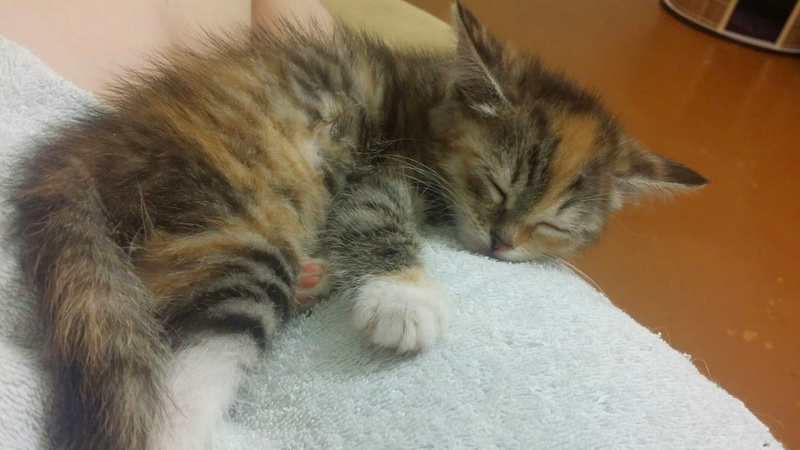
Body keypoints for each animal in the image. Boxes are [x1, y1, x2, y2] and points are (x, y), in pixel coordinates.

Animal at [10, 2, 706, 449]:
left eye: (554, 226)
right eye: (496, 183)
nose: (502, 242)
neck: (429, 101)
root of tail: (94, 145)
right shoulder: (383, 166)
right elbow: (376, 217)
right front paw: (406, 299)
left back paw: (315, 280)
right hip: (234, 217)